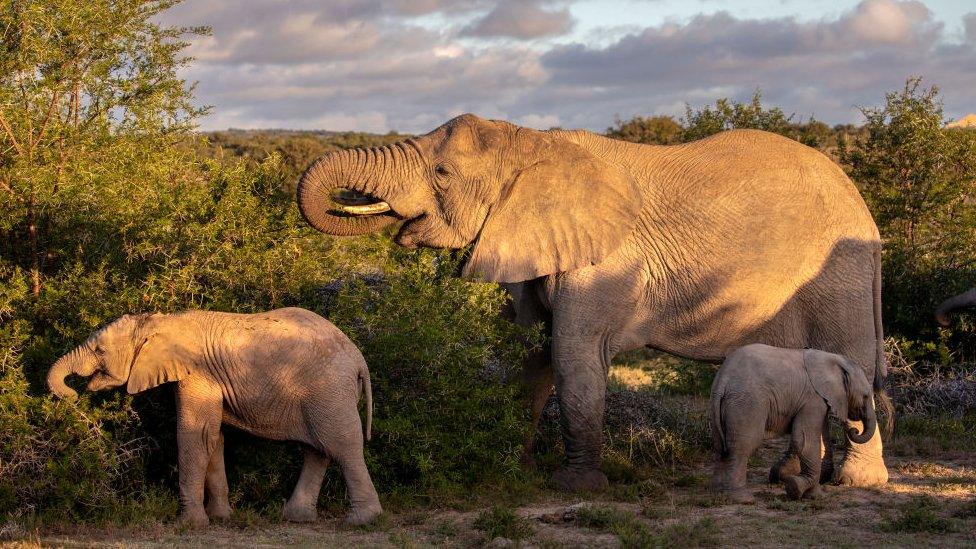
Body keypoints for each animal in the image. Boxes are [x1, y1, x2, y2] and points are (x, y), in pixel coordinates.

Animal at [48, 308, 382, 528]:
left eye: (100, 349)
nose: (74, 395)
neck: (161, 321)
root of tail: (359, 358)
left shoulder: (197, 374)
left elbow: (195, 435)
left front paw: (189, 525)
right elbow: (214, 437)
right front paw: (222, 519)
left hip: (329, 389)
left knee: (342, 445)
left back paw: (362, 521)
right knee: (317, 449)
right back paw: (296, 519)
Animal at [298, 111, 892, 488]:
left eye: (442, 174)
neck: (533, 143)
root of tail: (865, 211)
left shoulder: (603, 265)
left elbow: (572, 355)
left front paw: (575, 486)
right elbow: (533, 355)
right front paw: (512, 468)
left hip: (838, 277)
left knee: (853, 362)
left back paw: (856, 483)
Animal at [708, 344, 876, 504]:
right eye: (865, 396)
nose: (853, 429)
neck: (833, 359)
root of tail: (722, 381)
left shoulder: (819, 400)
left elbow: (819, 439)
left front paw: (814, 496)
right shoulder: (813, 398)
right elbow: (805, 440)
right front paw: (796, 488)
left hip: (721, 406)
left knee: (720, 447)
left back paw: (719, 493)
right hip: (746, 403)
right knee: (742, 446)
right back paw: (743, 499)